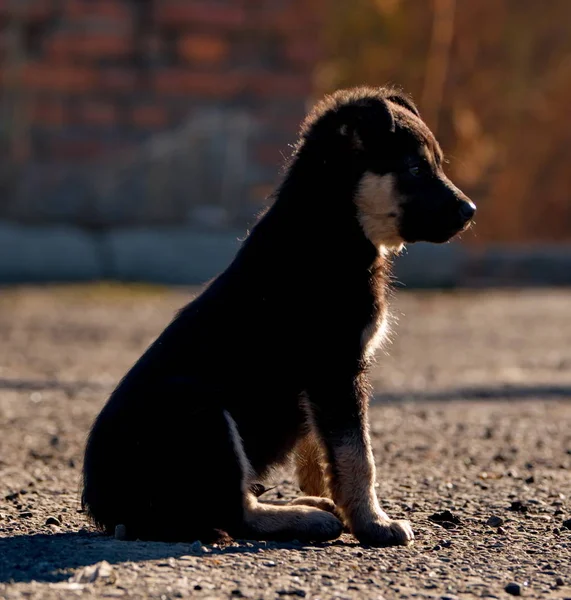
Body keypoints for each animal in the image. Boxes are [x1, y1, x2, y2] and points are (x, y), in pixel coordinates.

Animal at [82, 85, 476, 548]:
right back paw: (303, 520)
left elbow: (321, 451)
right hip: (198, 410)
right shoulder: (334, 369)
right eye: (415, 168)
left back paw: (311, 507)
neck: (332, 227)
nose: (470, 211)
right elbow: (358, 456)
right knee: (233, 513)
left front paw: (340, 504)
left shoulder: (321, 385)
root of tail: (104, 505)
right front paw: (373, 524)